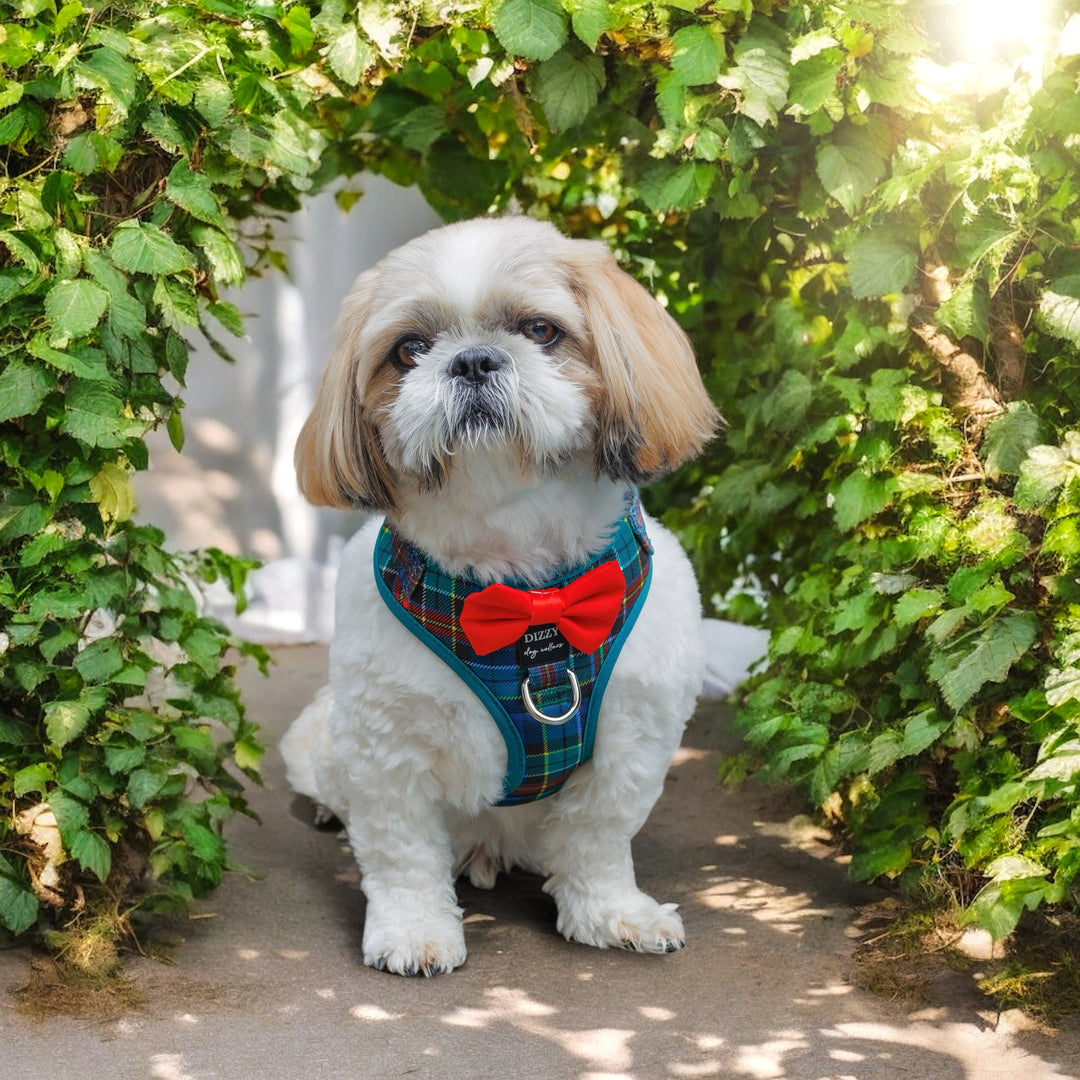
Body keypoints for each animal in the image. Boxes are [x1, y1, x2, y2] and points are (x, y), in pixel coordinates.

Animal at [279, 216, 718, 976]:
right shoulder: (387, 749)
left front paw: (610, 913)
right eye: (410, 349)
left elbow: (599, 834)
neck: (523, 602)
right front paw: (413, 932)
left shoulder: (633, 735)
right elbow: (401, 852)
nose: (473, 361)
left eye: (540, 330)